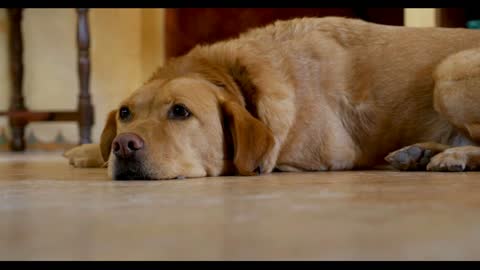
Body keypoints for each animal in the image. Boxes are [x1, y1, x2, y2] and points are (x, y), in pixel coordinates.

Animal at [63, 16, 480, 179]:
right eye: (125, 114)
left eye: (180, 112)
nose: (124, 145)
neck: (234, 73)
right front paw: (88, 149)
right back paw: (421, 153)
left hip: (449, 72)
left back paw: (454, 155)